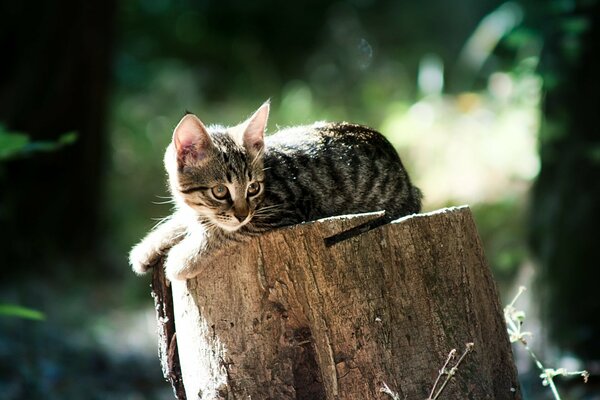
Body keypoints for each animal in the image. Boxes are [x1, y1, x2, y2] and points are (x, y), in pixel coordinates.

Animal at [130, 101, 422, 280]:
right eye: (220, 191)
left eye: (253, 188)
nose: (242, 213)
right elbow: (183, 220)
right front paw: (147, 248)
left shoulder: (280, 211)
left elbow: (225, 234)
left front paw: (182, 260)